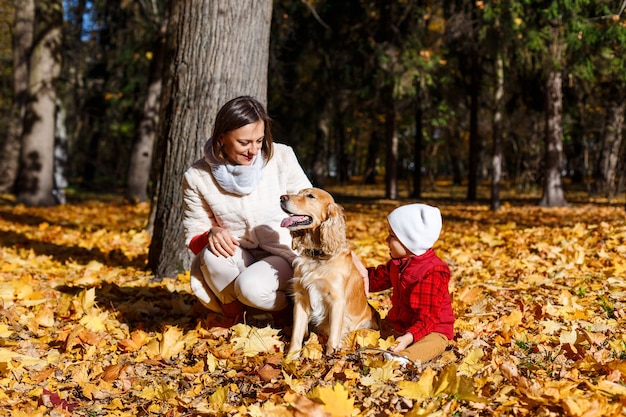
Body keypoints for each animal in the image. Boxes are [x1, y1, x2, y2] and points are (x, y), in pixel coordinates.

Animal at [280, 188, 378, 354]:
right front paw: (291, 357)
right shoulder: (301, 297)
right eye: (298, 192)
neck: (317, 257)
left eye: (310, 196)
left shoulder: (336, 300)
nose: (282, 197)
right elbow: (296, 335)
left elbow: (333, 336)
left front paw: (331, 357)